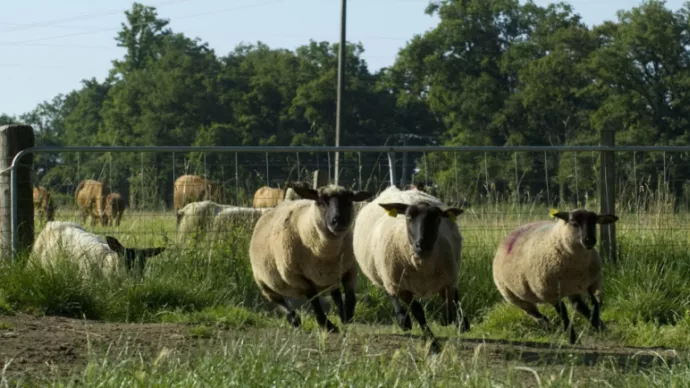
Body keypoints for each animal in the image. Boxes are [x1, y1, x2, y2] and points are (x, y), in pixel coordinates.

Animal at [249, 183, 370, 332]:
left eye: (348, 200)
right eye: (321, 201)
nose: (338, 222)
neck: (326, 253)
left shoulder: (350, 269)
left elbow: (351, 296)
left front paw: (347, 316)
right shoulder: (298, 279)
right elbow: (315, 302)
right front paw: (328, 326)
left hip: (330, 278)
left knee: (336, 295)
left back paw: (341, 314)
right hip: (265, 284)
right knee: (279, 301)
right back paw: (294, 320)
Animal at [352, 185, 464, 354]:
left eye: (437, 219)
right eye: (409, 217)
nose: (421, 245)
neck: (422, 266)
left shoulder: (448, 280)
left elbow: (450, 304)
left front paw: (450, 321)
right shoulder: (401, 287)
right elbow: (418, 311)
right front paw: (433, 345)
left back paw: (463, 323)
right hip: (385, 275)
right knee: (390, 293)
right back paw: (403, 321)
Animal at [490, 208, 620, 344]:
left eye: (595, 222)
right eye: (573, 222)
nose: (590, 240)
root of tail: (511, 233)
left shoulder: (594, 283)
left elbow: (596, 303)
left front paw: (598, 324)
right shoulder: (550, 293)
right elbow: (564, 315)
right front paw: (572, 339)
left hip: (572, 289)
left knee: (579, 306)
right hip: (513, 296)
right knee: (533, 312)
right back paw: (547, 324)